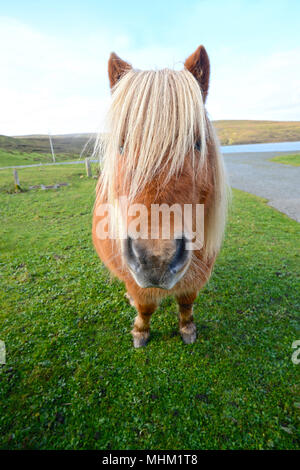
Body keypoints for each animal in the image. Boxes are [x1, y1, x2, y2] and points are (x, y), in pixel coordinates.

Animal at [92, 46, 229, 346]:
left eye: (197, 142)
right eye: (121, 145)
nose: (156, 259)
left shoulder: (196, 276)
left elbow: (187, 302)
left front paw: (187, 329)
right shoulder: (136, 280)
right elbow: (146, 306)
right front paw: (140, 332)